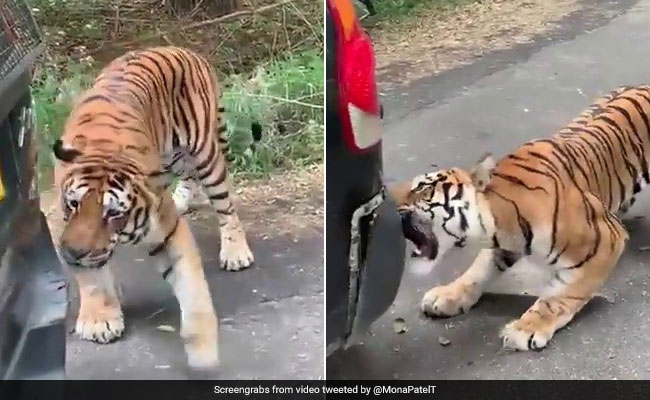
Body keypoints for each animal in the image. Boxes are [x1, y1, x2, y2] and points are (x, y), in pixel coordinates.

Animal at [52, 46, 255, 369]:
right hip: (174, 159)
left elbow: (191, 286)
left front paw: (203, 349)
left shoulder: (166, 230)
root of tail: (187, 50)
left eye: (113, 213)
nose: (75, 252)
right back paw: (183, 199)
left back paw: (235, 252)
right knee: (188, 177)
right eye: (74, 204)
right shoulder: (64, 227)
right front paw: (100, 320)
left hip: (206, 155)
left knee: (225, 205)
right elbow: (92, 278)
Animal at [389, 85, 650, 352]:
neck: (497, 222)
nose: (386, 196)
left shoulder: (607, 239)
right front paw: (447, 296)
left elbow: (559, 296)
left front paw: (527, 328)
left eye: (423, 187)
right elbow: (476, 272)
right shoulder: (503, 246)